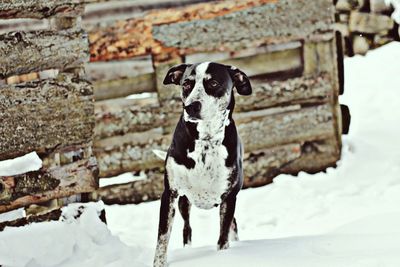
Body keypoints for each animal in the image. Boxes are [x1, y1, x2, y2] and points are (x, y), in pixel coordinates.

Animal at [154, 61, 252, 266]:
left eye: (213, 83)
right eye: (186, 84)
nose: (191, 107)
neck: (205, 140)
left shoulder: (229, 199)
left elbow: (223, 238)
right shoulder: (170, 194)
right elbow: (163, 236)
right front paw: (159, 262)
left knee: (232, 226)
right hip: (184, 203)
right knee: (187, 228)